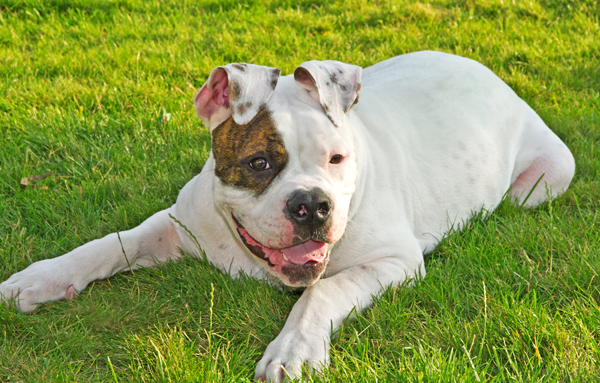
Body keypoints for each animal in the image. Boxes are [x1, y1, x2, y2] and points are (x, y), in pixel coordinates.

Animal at [0, 51, 576, 383]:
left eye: (337, 159)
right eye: (259, 163)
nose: (311, 205)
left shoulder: (394, 261)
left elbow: (324, 291)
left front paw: (293, 350)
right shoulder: (177, 224)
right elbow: (112, 242)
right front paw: (40, 279)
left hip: (548, 179)